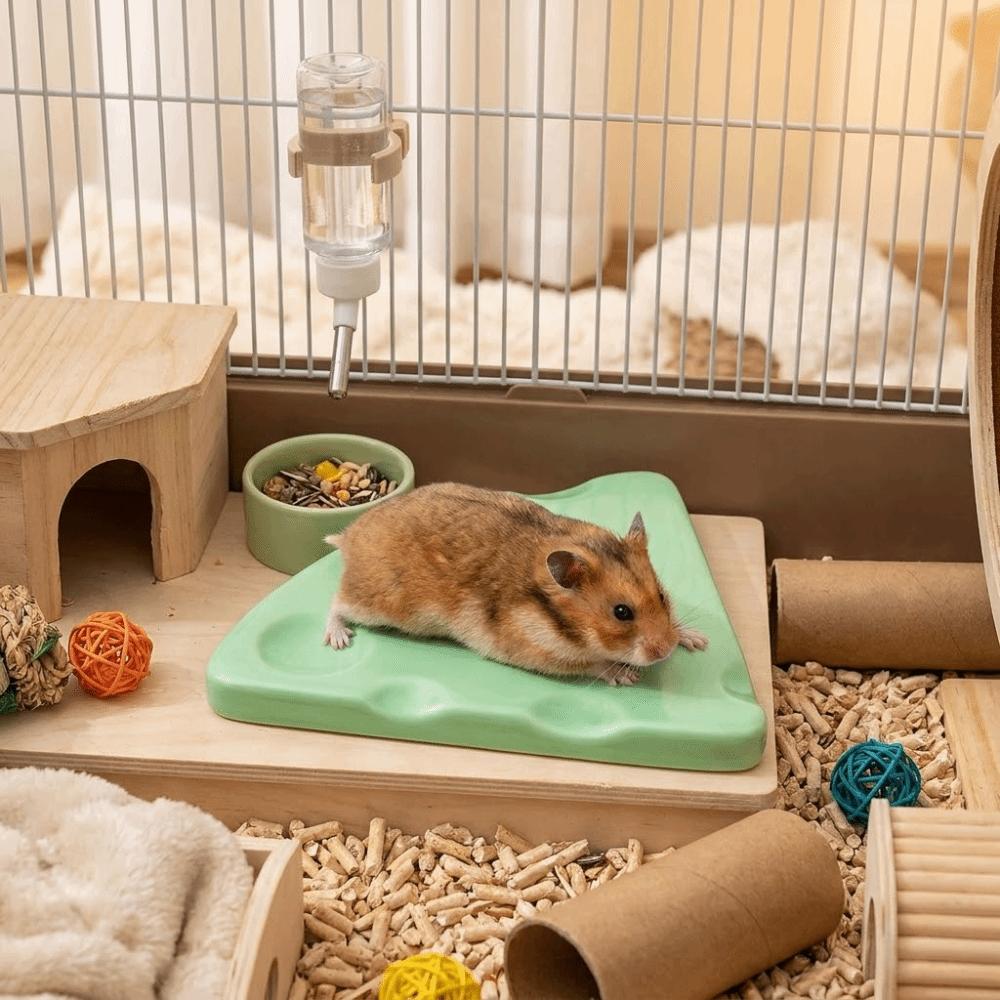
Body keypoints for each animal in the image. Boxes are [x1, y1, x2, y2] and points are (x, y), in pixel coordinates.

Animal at [322, 482, 708, 685]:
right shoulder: (536, 650)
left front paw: (696, 640)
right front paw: (625, 676)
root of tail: (350, 536)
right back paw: (338, 640)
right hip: (382, 603)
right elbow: (590, 665)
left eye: (662, 595)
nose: (665, 652)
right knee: (336, 602)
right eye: (622, 612)